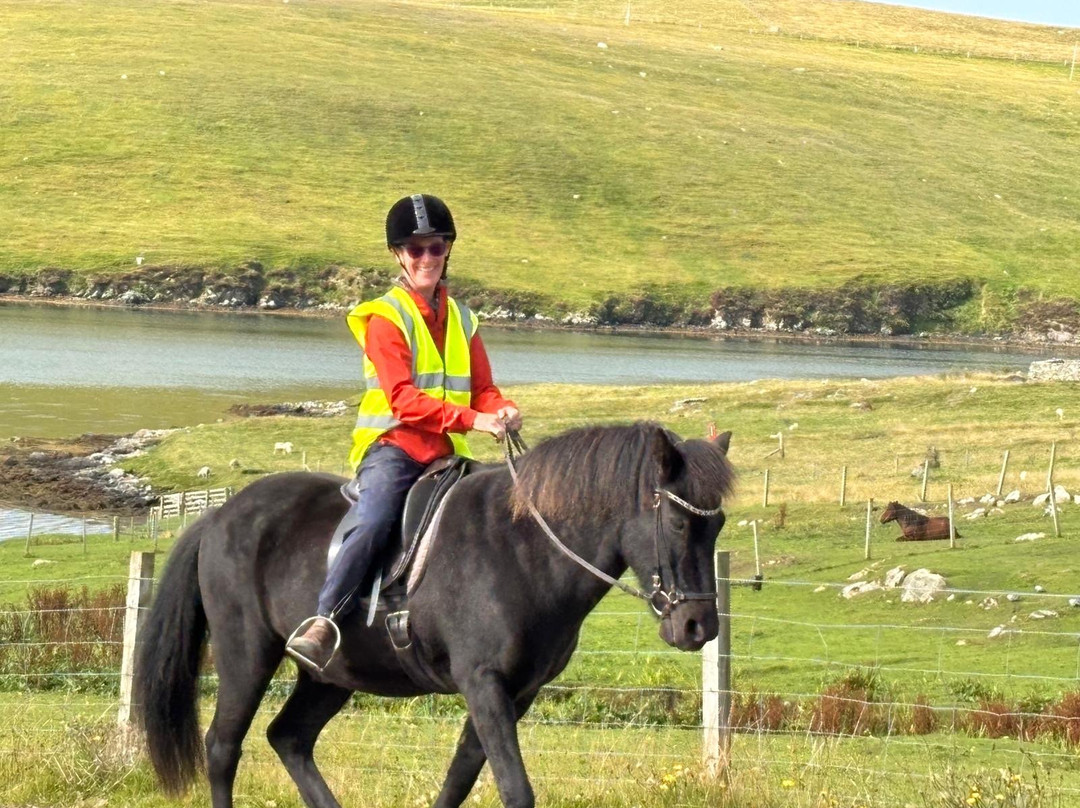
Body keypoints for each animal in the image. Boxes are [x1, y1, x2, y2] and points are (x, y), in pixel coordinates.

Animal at [135, 422, 734, 808]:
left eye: (720, 525)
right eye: (679, 523)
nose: (699, 628)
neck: (523, 548)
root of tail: (218, 517)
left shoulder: (516, 692)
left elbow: (459, 779)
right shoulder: (484, 683)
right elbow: (514, 788)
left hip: (331, 676)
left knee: (289, 738)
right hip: (246, 657)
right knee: (222, 748)